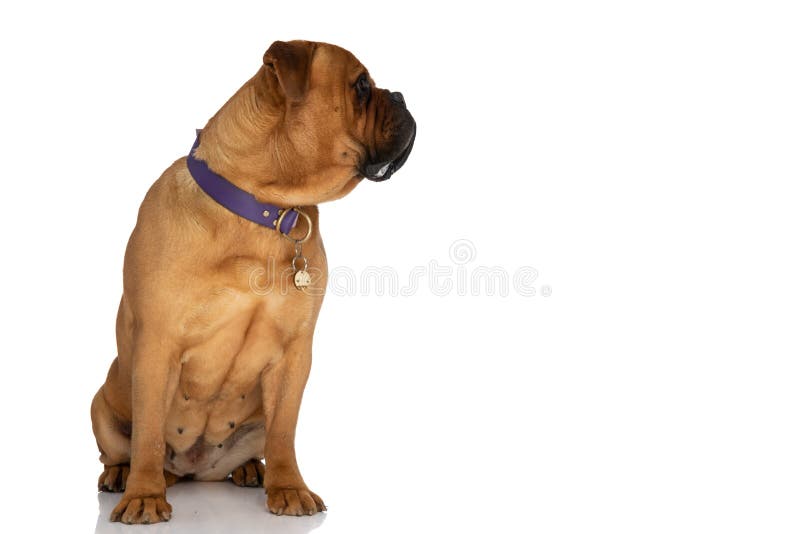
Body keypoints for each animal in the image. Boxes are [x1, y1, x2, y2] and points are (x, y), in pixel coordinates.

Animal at [92, 39, 418, 524]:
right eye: (361, 86)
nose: (399, 95)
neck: (265, 210)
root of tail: (194, 469)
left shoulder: (293, 355)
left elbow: (284, 431)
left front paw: (289, 487)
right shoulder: (157, 344)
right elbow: (148, 432)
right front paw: (145, 495)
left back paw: (250, 469)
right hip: (102, 403)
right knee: (120, 449)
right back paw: (123, 475)